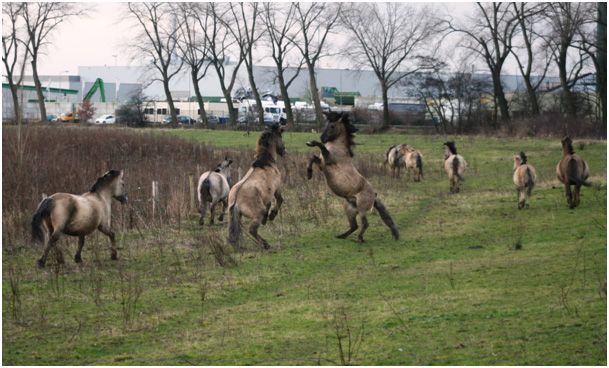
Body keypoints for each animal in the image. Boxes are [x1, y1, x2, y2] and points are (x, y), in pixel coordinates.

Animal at [306, 110, 402, 243]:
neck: (338, 149)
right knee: (354, 226)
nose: (323, 138)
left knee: (364, 224)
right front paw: (309, 174)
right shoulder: (322, 164)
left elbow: (321, 147)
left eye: (332, 126)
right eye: (327, 124)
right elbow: (312, 158)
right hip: (349, 209)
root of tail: (374, 195)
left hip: (361, 208)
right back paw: (341, 236)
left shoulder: (328, 160)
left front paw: (311, 142)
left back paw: (360, 239)